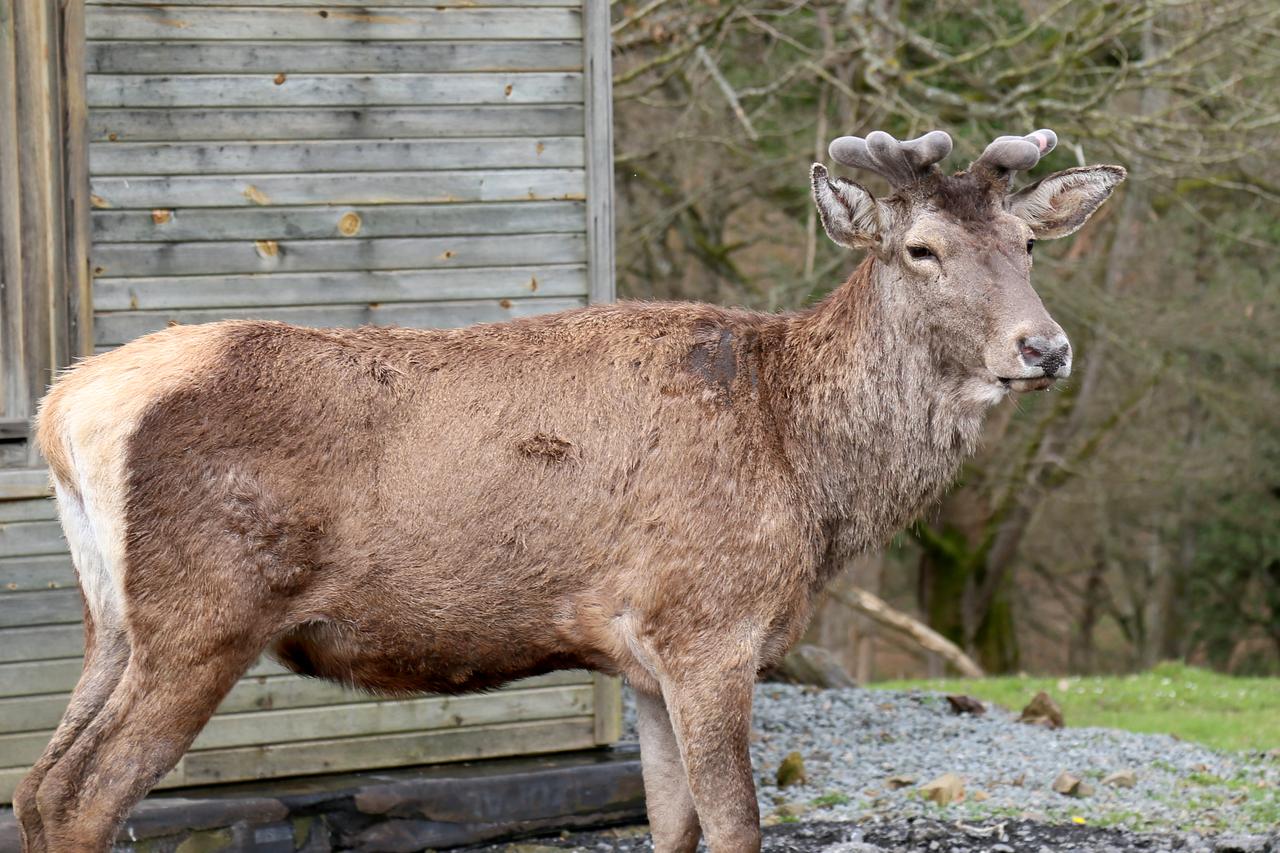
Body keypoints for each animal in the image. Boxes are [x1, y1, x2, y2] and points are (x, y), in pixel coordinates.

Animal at [14, 127, 1123, 852]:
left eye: (1027, 245)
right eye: (920, 249)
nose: (1044, 347)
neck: (809, 479)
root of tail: (66, 408)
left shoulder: (641, 656)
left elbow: (671, 825)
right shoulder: (707, 623)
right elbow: (736, 826)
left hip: (114, 621)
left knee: (33, 783)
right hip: (204, 613)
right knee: (82, 795)